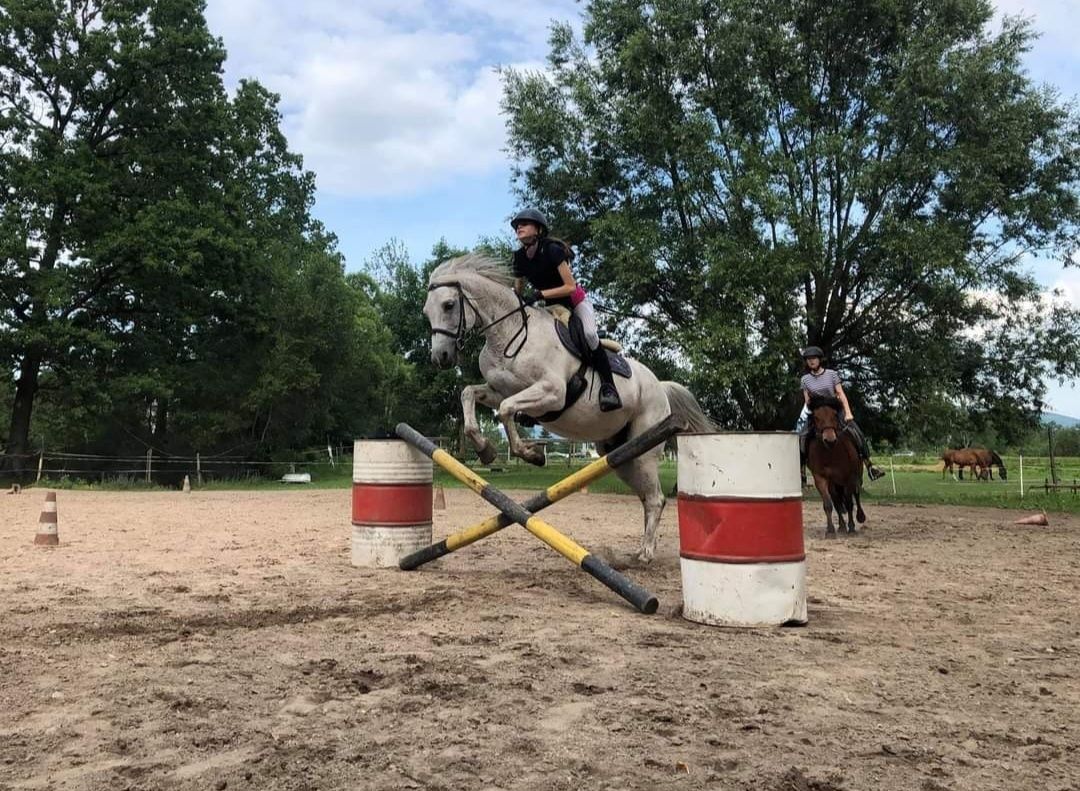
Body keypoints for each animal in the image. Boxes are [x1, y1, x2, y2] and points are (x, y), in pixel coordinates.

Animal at [423, 255, 717, 561]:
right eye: (426, 312)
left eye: (449, 305)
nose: (440, 357)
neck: (509, 334)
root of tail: (660, 385)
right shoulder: (499, 390)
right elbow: (470, 395)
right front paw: (486, 450)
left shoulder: (552, 394)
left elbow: (505, 410)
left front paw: (532, 454)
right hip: (620, 455)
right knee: (647, 496)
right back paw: (643, 547)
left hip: (645, 448)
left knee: (656, 498)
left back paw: (646, 552)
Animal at [807, 395, 864, 538]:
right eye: (816, 417)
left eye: (834, 414)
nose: (829, 440)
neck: (831, 452)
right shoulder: (820, 478)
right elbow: (829, 504)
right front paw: (830, 530)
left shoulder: (850, 477)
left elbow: (849, 502)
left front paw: (852, 527)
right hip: (834, 483)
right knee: (837, 500)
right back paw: (841, 526)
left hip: (857, 475)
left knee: (856, 494)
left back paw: (860, 517)